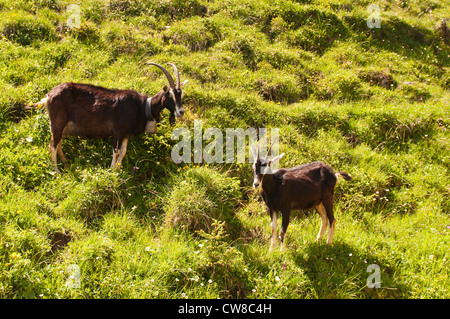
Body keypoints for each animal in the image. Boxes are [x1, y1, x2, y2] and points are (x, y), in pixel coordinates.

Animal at [28, 62, 187, 172]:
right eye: (170, 95)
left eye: (181, 95)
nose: (181, 112)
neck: (142, 107)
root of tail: (48, 96)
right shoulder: (118, 131)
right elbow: (115, 151)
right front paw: (111, 172)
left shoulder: (126, 134)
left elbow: (122, 153)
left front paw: (118, 170)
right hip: (57, 122)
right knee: (52, 145)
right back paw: (57, 171)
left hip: (62, 126)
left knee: (58, 143)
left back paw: (66, 164)